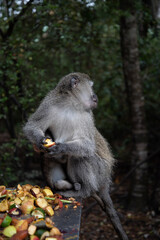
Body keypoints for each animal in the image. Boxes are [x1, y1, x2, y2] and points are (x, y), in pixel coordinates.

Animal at [23, 72, 129, 240]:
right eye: (91, 87)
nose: (95, 96)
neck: (70, 104)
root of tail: (106, 179)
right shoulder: (49, 103)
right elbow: (32, 126)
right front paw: (41, 142)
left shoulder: (87, 115)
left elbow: (88, 146)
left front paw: (61, 148)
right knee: (48, 159)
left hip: (100, 172)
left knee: (80, 157)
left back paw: (84, 190)